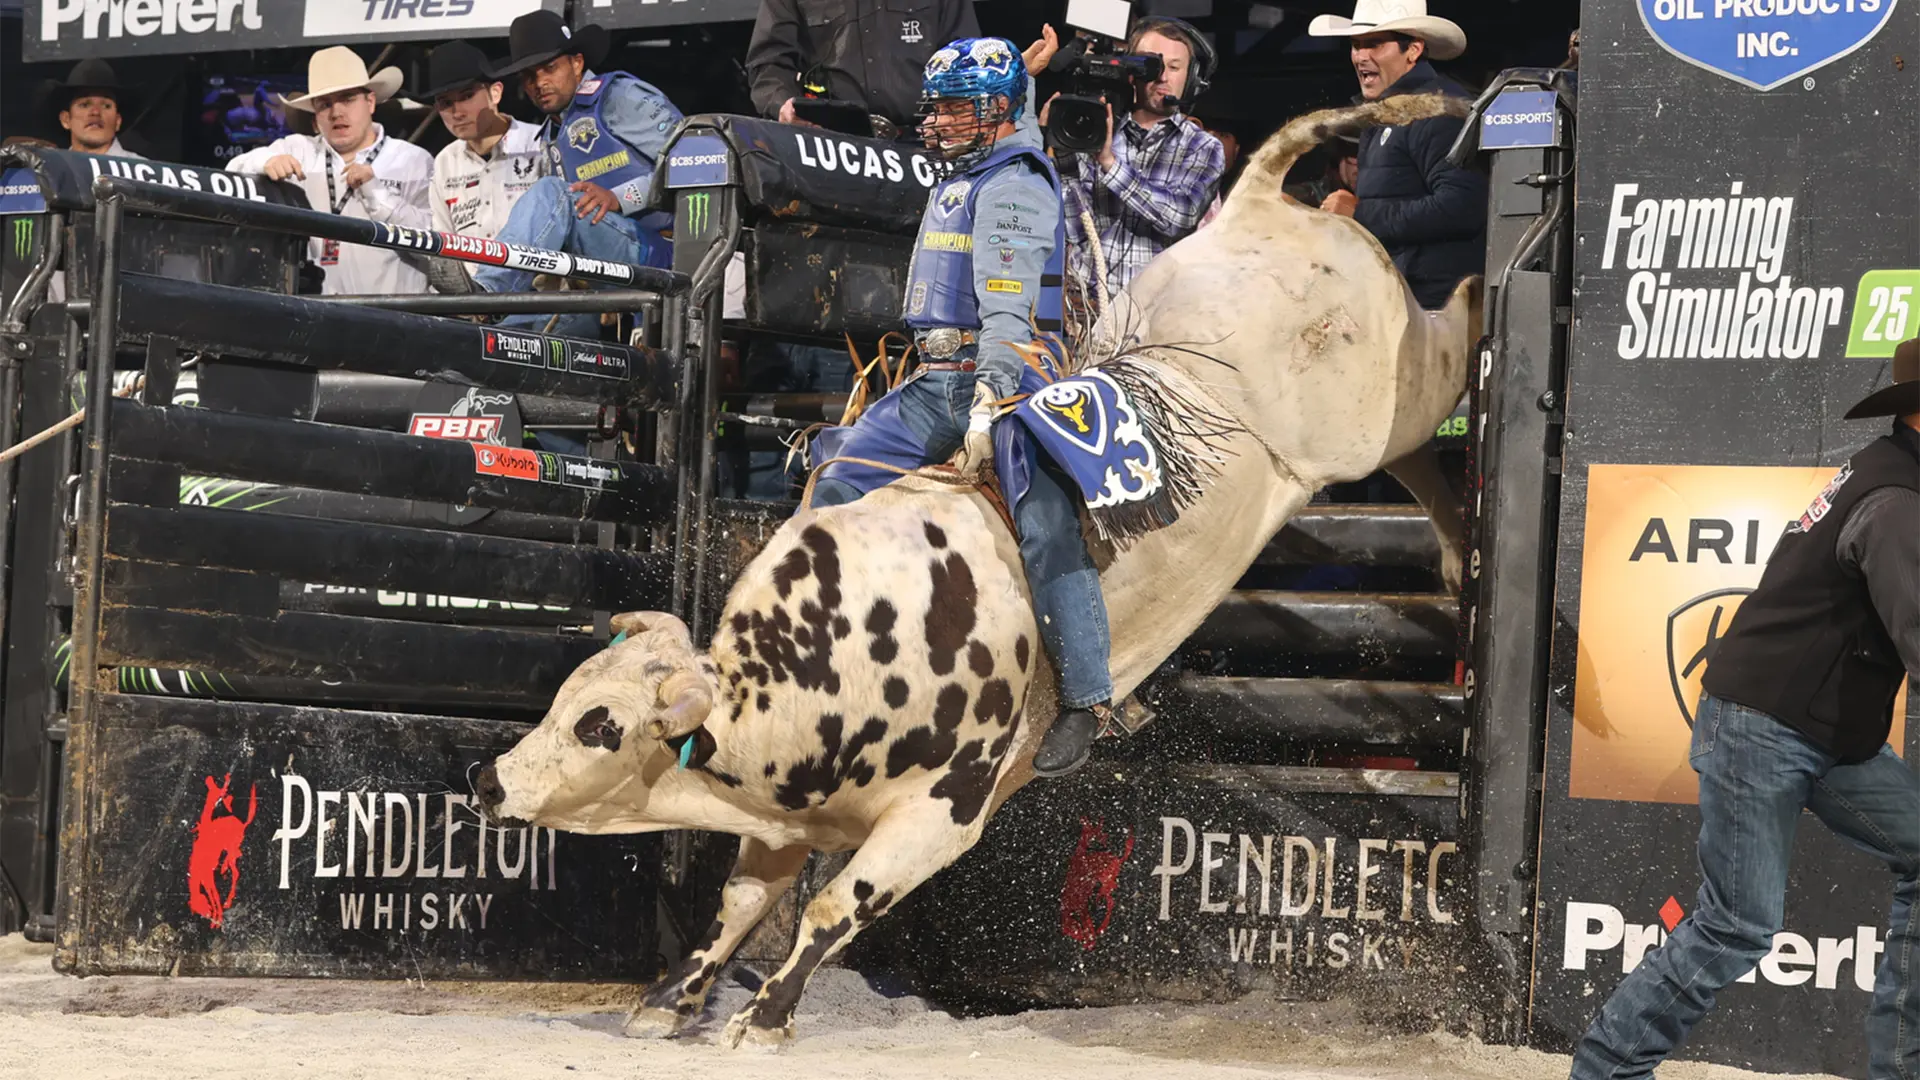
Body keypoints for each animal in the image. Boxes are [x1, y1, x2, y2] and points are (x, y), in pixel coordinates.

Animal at [472, 92, 1474, 1045]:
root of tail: (1260, 203)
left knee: (1448, 359)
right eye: (566, 697)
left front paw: (764, 1020)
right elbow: (743, 900)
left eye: (599, 725)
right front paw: (670, 999)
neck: (841, 663)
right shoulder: (790, 814)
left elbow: (835, 905)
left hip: (1390, 400)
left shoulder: (942, 815)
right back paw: (1460, 552)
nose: (489, 782)